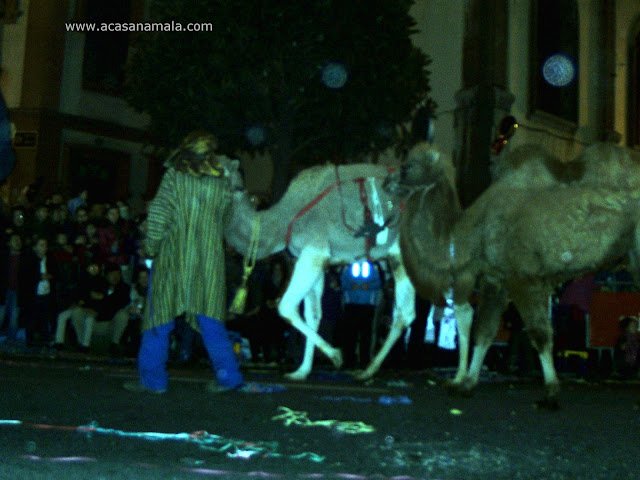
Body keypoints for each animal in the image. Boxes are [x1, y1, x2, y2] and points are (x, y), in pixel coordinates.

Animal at [220, 146, 476, 382]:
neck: (280, 222)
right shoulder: (315, 258)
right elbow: (313, 314)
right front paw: (301, 371)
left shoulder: (313, 251)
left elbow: (286, 306)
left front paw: (336, 356)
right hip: (405, 259)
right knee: (413, 312)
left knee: (453, 308)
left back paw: (460, 377)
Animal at [396, 141, 640, 406]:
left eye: (409, 165)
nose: (391, 178)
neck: (472, 232)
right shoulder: (496, 278)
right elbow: (484, 331)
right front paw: (466, 383)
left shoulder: (521, 276)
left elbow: (539, 334)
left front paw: (551, 392)